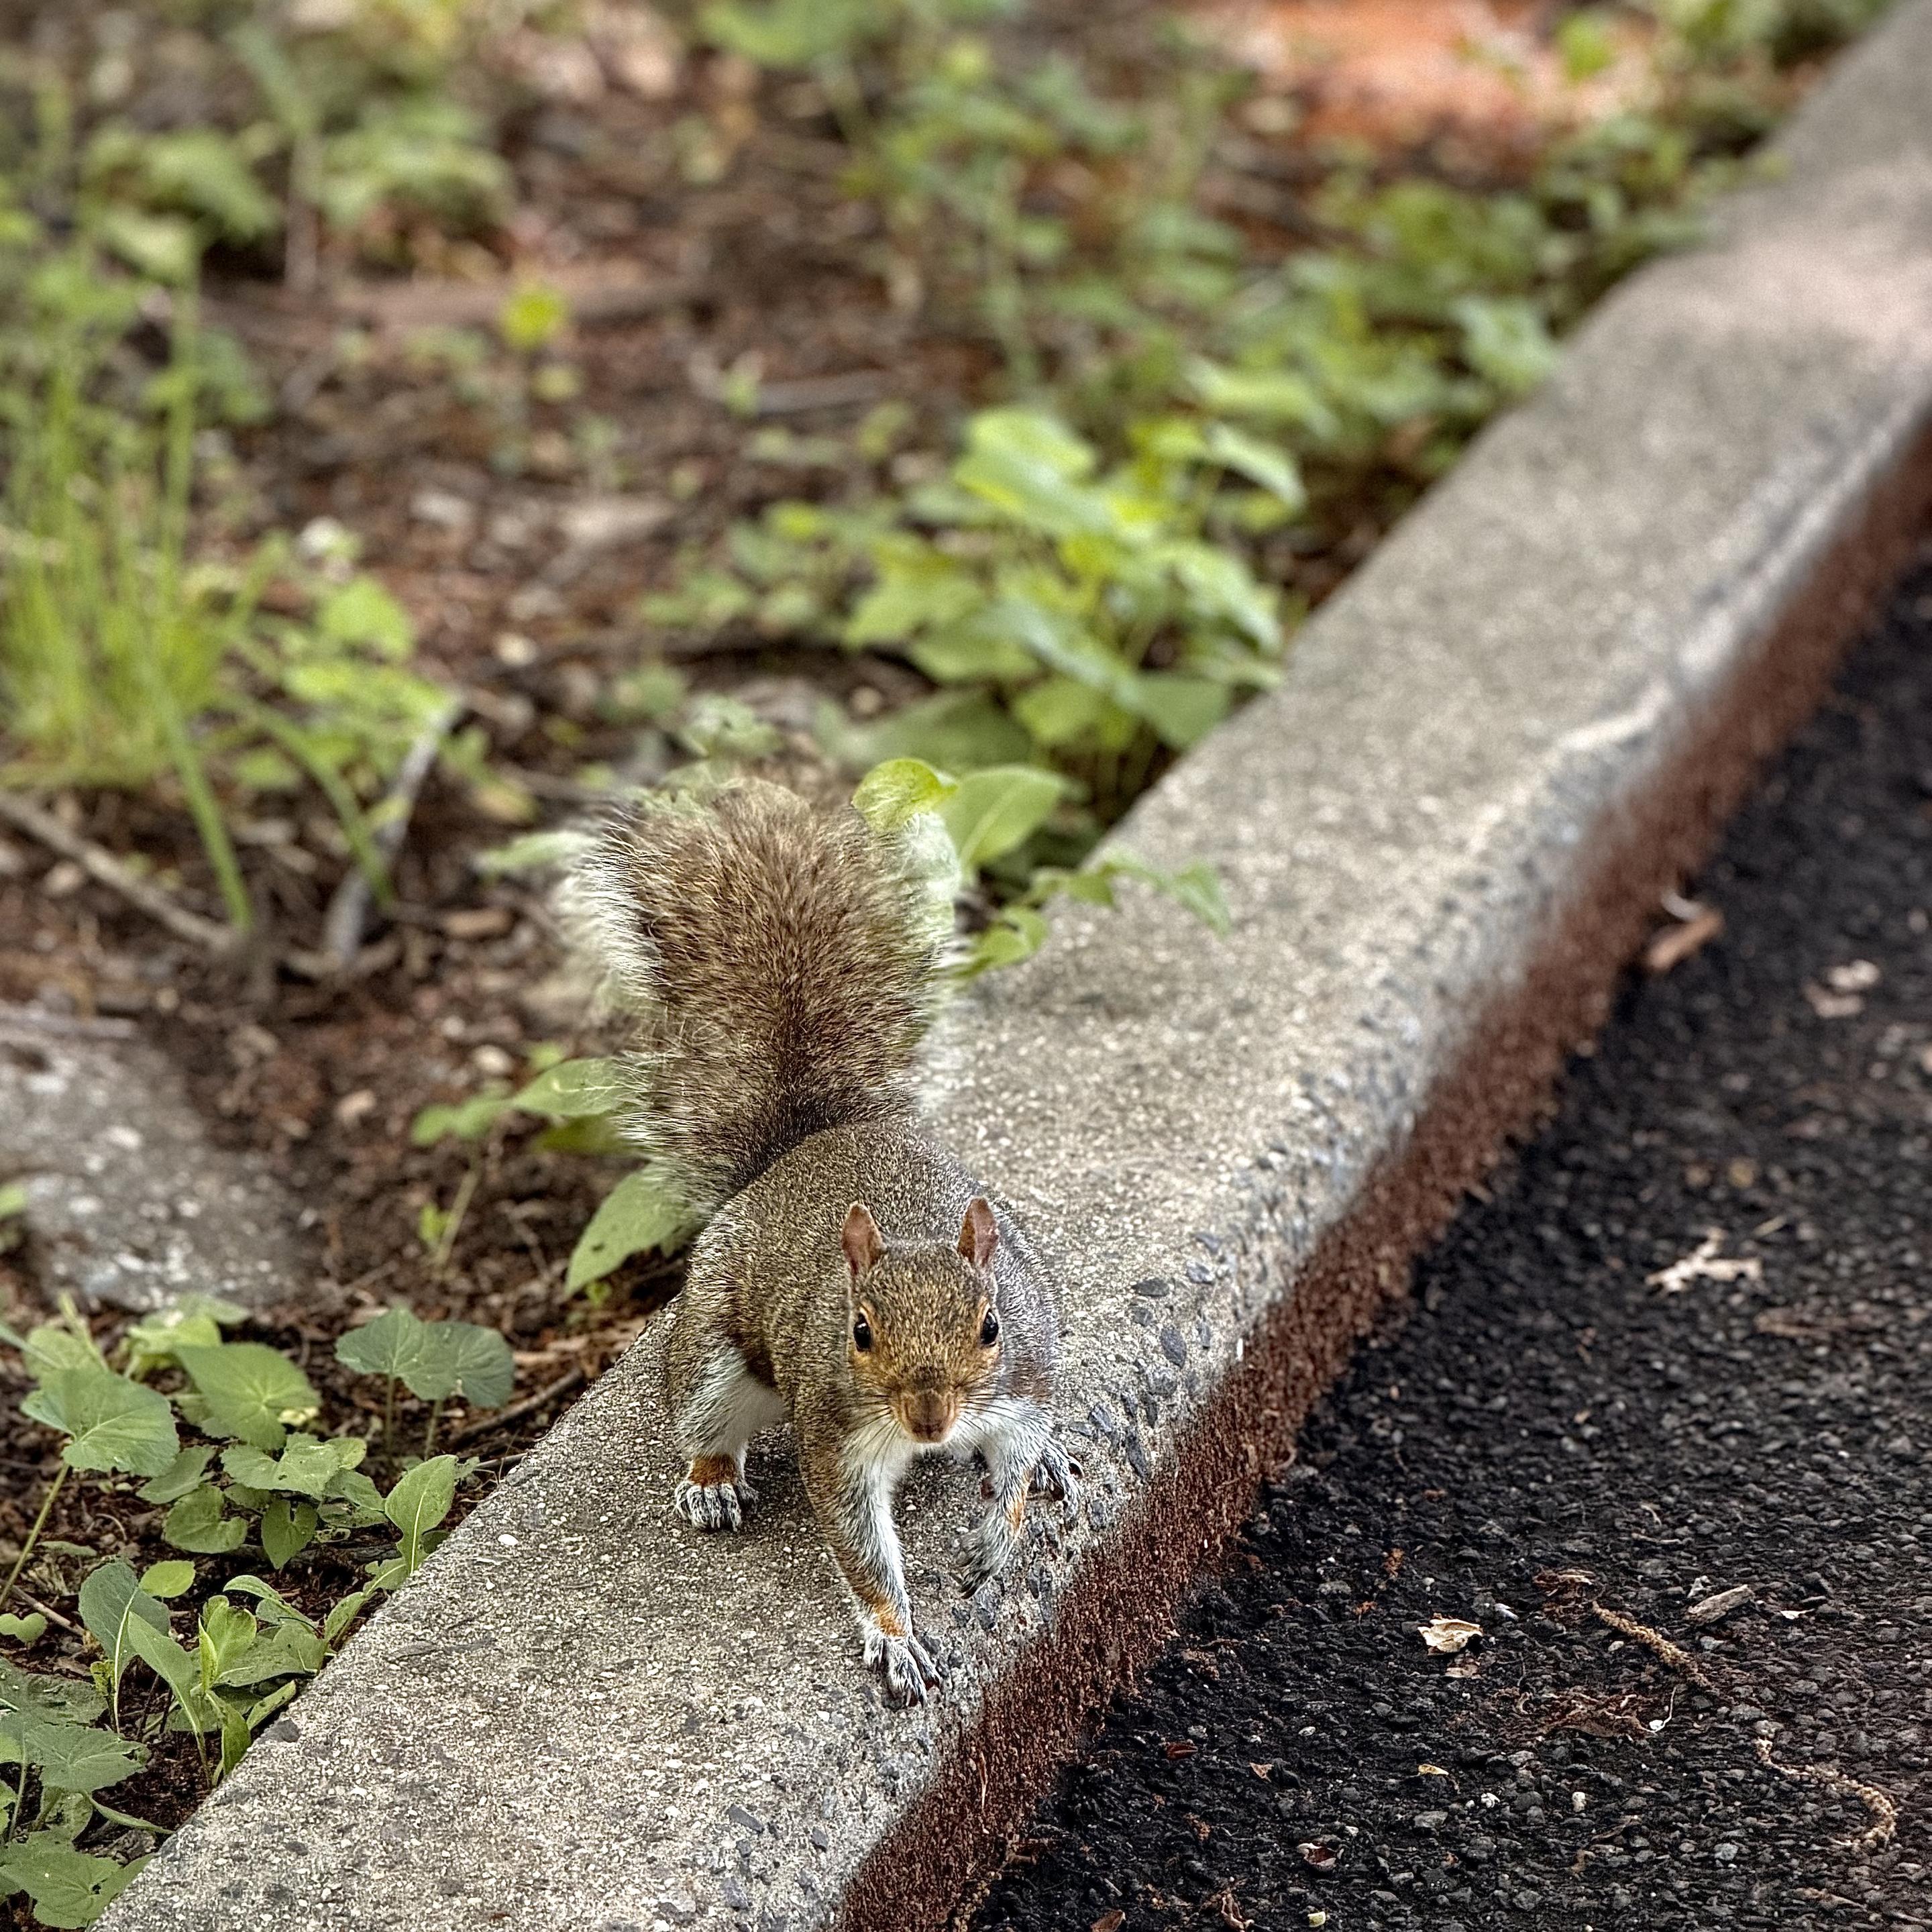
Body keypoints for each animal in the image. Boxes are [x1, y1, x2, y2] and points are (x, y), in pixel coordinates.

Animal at [561, 775, 1077, 1705]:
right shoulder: (836, 1437)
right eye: (858, 1332)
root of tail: (799, 1151)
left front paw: (998, 1532)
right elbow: (857, 1540)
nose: (929, 1418)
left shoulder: (1025, 1381)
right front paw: (895, 1635)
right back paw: (711, 1484)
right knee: (699, 1414)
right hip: (711, 1346)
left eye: (991, 1326)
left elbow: (1015, 1467)